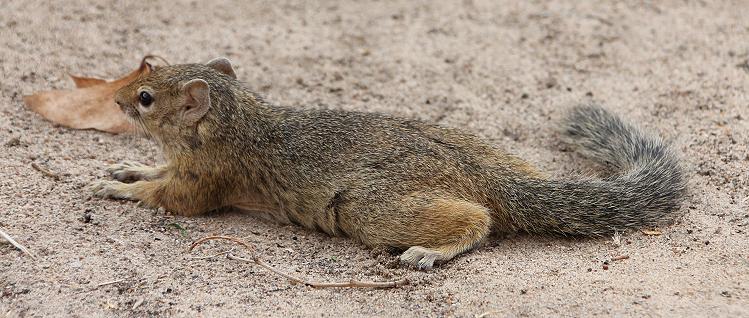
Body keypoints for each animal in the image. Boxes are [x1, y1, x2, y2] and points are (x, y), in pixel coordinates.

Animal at [90, 57, 688, 268]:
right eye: (147, 78)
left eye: (145, 97)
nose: (115, 100)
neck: (240, 121)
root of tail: (489, 179)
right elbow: (157, 174)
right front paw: (127, 170)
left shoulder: (209, 178)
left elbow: (173, 198)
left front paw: (123, 191)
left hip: (370, 206)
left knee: (479, 221)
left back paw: (430, 251)